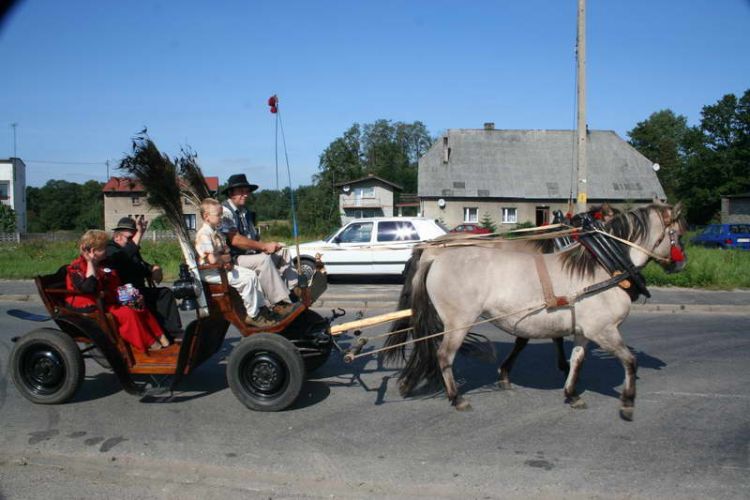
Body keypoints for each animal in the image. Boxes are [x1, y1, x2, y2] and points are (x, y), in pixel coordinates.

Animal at [388, 203, 688, 422]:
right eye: (680, 233)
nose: (681, 264)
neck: (603, 267)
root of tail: (435, 255)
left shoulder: (585, 331)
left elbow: (578, 359)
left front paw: (571, 393)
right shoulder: (604, 330)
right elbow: (629, 361)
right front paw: (627, 402)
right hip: (458, 321)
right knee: (443, 355)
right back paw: (456, 398)